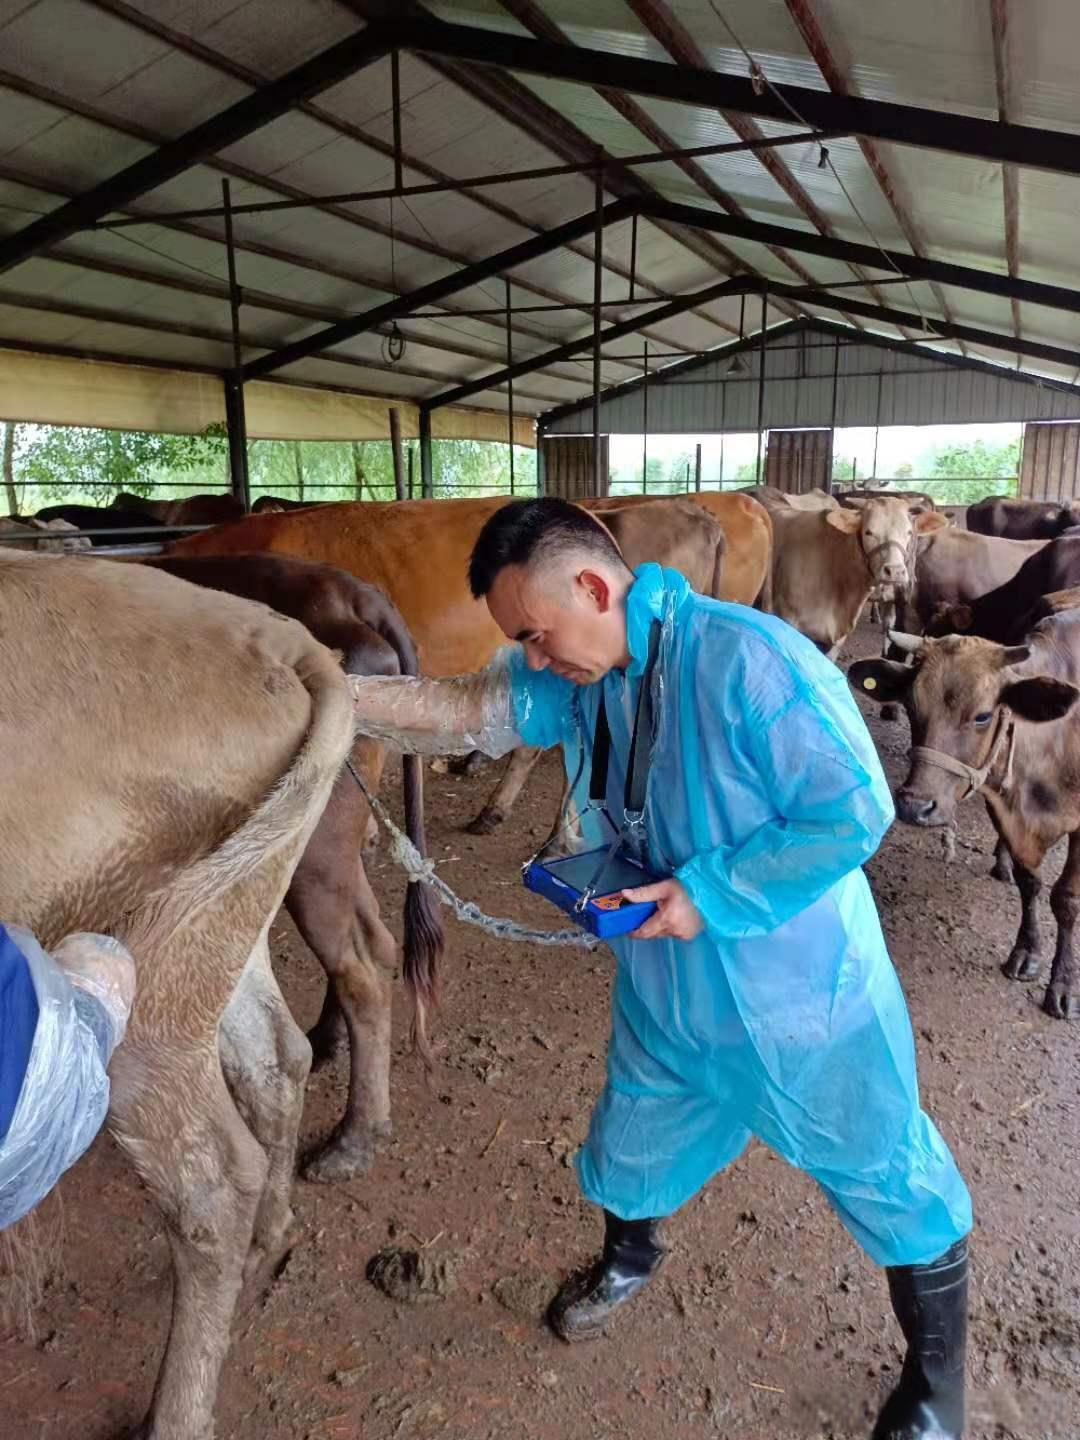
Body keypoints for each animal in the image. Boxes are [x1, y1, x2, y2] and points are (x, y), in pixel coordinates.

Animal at [0, 544, 355, 1434]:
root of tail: (285, 644)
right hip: (223, 934)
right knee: (277, 1058)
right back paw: (272, 1237)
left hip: (136, 999)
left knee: (209, 1183)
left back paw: (175, 1417)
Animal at [852, 619, 1080, 1025]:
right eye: (911, 705)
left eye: (983, 716)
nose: (915, 805)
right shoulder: (1000, 803)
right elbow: (1030, 884)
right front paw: (1026, 950)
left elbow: (1066, 900)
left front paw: (1063, 985)